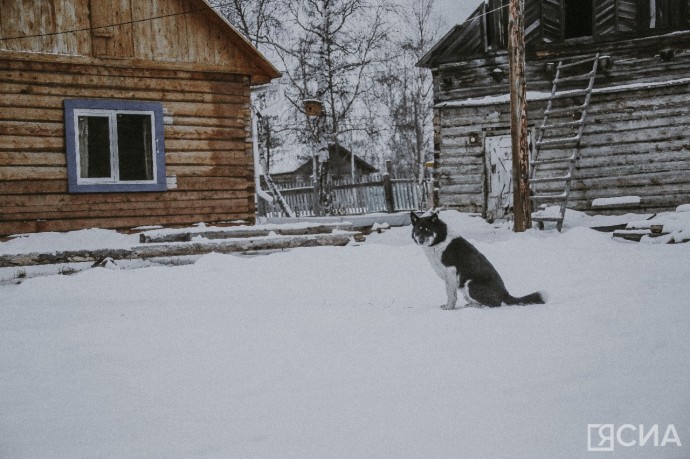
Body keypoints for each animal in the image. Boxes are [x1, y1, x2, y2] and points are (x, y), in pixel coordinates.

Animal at [408, 211, 544, 310]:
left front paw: (449, 308)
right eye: (418, 230)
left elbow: (451, 295)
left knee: (495, 304)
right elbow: (449, 293)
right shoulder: (448, 279)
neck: (440, 241)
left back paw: (477, 306)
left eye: (428, 230)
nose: (421, 240)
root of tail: (505, 293)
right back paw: (472, 304)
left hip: (470, 284)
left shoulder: (451, 273)